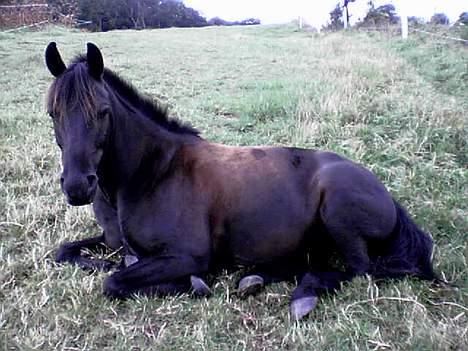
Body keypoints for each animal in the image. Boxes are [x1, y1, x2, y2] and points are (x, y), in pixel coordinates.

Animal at [44, 42, 438, 320]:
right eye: (53, 113)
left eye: (102, 112)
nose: (77, 186)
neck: (152, 172)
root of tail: (383, 193)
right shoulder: (112, 241)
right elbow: (65, 253)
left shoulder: (186, 255)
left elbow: (115, 282)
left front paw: (193, 283)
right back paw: (258, 278)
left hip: (339, 214)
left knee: (358, 272)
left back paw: (303, 295)